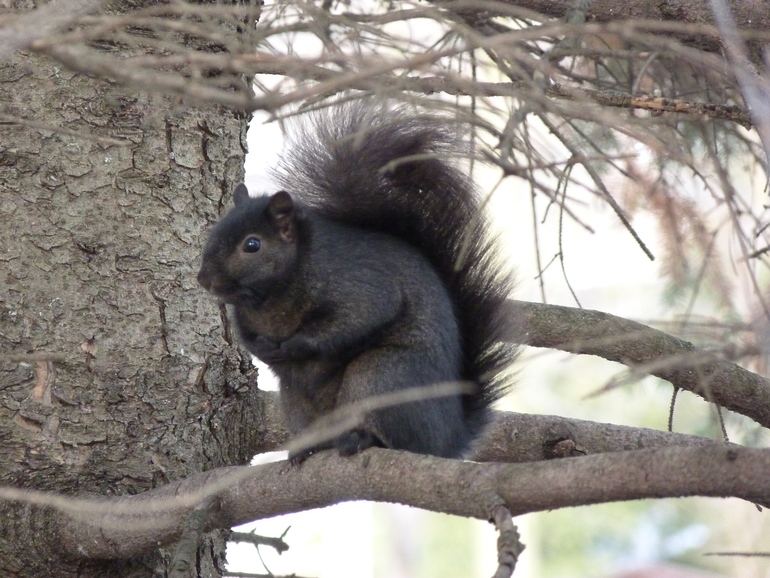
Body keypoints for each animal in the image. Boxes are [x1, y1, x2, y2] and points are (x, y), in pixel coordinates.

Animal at [197, 102, 518, 462]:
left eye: (252, 244)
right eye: (214, 230)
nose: (204, 279)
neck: (269, 297)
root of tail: (449, 441)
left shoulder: (360, 284)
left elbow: (355, 319)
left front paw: (296, 345)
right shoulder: (244, 316)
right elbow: (246, 336)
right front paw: (262, 349)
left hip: (381, 377)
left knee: (398, 437)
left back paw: (364, 439)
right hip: (298, 404)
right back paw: (309, 447)